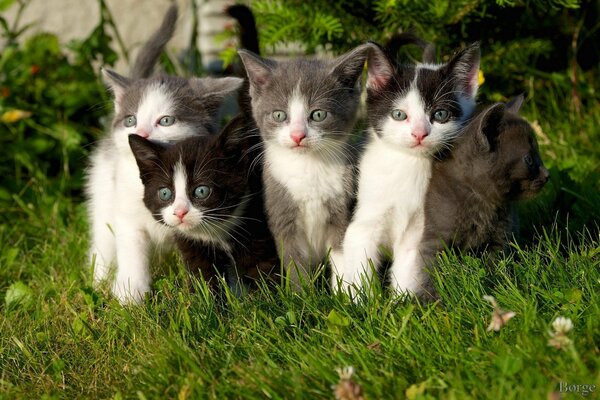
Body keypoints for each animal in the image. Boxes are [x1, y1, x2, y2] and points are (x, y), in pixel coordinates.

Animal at [85, 3, 244, 304]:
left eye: (166, 121)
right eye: (131, 120)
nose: (141, 133)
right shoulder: (127, 215)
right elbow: (131, 250)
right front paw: (130, 295)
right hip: (103, 194)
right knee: (103, 239)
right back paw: (98, 280)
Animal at [129, 114, 278, 292]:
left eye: (201, 191)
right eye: (165, 193)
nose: (180, 212)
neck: (217, 231)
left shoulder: (257, 231)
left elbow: (264, 271)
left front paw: (270, 296)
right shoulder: (192, 245)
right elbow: (204, 280)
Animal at [238, 45, 372, 286]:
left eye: (318, 114)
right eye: (279, 115)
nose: (297, 135)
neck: (309, 166)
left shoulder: (341, 210)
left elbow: (341, 253)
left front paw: (344, 292)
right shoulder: (282, 212)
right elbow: (294, 261)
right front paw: (301, 294)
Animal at [332, 42, 482, 298]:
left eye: (440, 114)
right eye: (399, 115)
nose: (419, 133)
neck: (409, 165)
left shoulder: (420, 227)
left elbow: (409, 265)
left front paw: (402, 301)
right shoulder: (362, 224)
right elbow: (361, 263)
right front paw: (363, 303)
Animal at [418, 96, 548, 296]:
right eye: (529, 160)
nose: (547, 175)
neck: (482, 201)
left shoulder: (500, 239)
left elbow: (495, 266)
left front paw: (498, 289)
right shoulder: (435, 239)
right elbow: (431, 272)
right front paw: (431, 298)